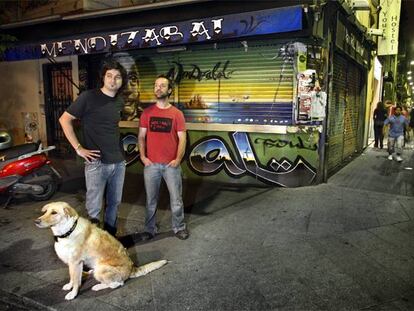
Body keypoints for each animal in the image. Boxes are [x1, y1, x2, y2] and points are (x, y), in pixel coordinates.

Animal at [34, 204, 167, 302]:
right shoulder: (73, 264)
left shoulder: (75, 263)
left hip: (101, 269)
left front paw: (73, 294)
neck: (68, 231)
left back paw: (98, 286)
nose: (36, 221)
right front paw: (69, 286)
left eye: (54, 213)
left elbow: (76, 282)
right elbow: (72, 278)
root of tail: (132, 269)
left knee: (117, 284)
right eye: (45, 211)